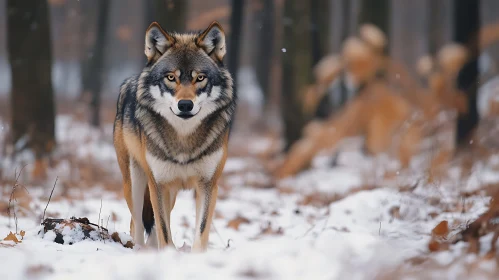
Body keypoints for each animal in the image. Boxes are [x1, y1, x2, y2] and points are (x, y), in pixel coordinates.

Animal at [114, 20, 237, 252]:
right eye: (171, 77)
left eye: (200, 78)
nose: (185, 105)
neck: (183, 139)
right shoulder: (158, 184)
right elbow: (163, 230)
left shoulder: (208, 185)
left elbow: (200, 231)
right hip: (135, 184)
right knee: (137, 224)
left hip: (169, 194)